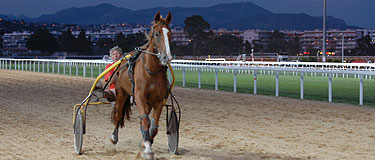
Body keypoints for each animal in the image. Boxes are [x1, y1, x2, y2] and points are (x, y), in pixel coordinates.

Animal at [109, 11, 173, 159]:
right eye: (157, 34)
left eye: (170, 33)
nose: (166, 57)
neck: (151, 71)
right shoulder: (139, 96)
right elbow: (145, 121)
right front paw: (148, 150)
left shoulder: (159, 100)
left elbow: (153, 126)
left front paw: (146, 141)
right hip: (121, 92)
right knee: (118, 114)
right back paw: (114, 136)